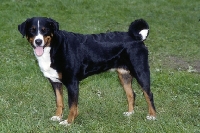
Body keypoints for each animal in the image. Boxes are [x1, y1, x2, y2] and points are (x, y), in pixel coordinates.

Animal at [18, 17, 156, 125]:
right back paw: (130, 113)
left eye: (44, 30)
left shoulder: (72, 83)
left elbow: (72, 105)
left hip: (140, 71)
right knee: (131, 94)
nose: (38, 41)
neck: (53, 48)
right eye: (32, 30)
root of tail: (136, 37)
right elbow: (59, 101)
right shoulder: (55, 82)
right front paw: (58, 116)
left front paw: (68, 122)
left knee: (148, 94)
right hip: (124, 74)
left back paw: (152, 116)